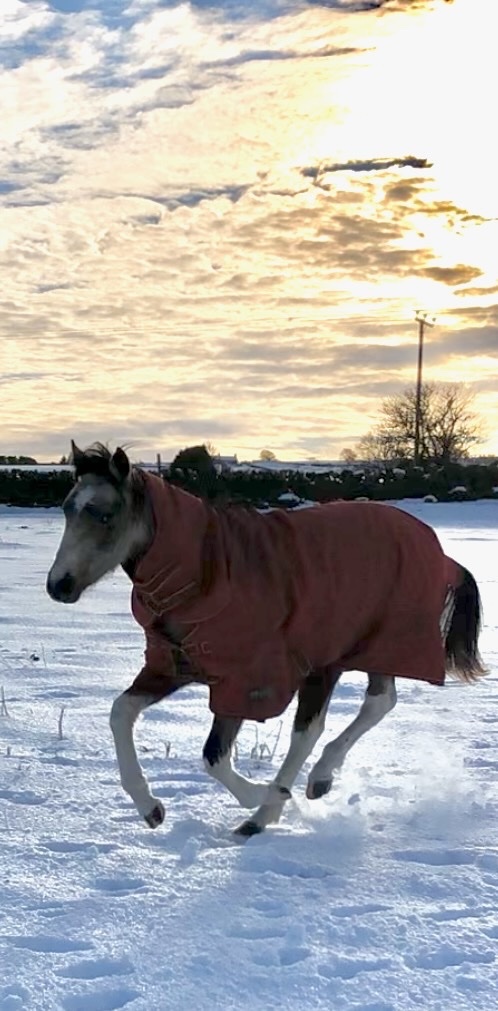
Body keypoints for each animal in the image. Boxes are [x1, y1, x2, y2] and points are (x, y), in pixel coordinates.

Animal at [46, 442, 486, 836]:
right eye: (66, 508)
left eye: (105, 515)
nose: (58, 586)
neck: (206, 572)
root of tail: (441, 553)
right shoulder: (175, 665)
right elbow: (121, 712)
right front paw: (151, 808)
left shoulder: (248, 680)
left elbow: (214, 756)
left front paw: (263, 795)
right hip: (367, 648)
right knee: (378, 702)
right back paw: (317, 781)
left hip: (337, 657)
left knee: (314, 729)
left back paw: (267, 811)